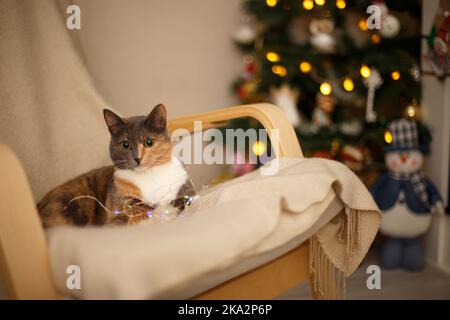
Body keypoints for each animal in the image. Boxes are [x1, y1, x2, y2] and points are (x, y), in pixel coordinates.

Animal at [37, 103, 195, 228]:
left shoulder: (184, 186)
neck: (149, 175)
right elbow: (137, 211)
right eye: (125, 145)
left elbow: (183, 199)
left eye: (149, 142)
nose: (137, 158)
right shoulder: (120, 208)